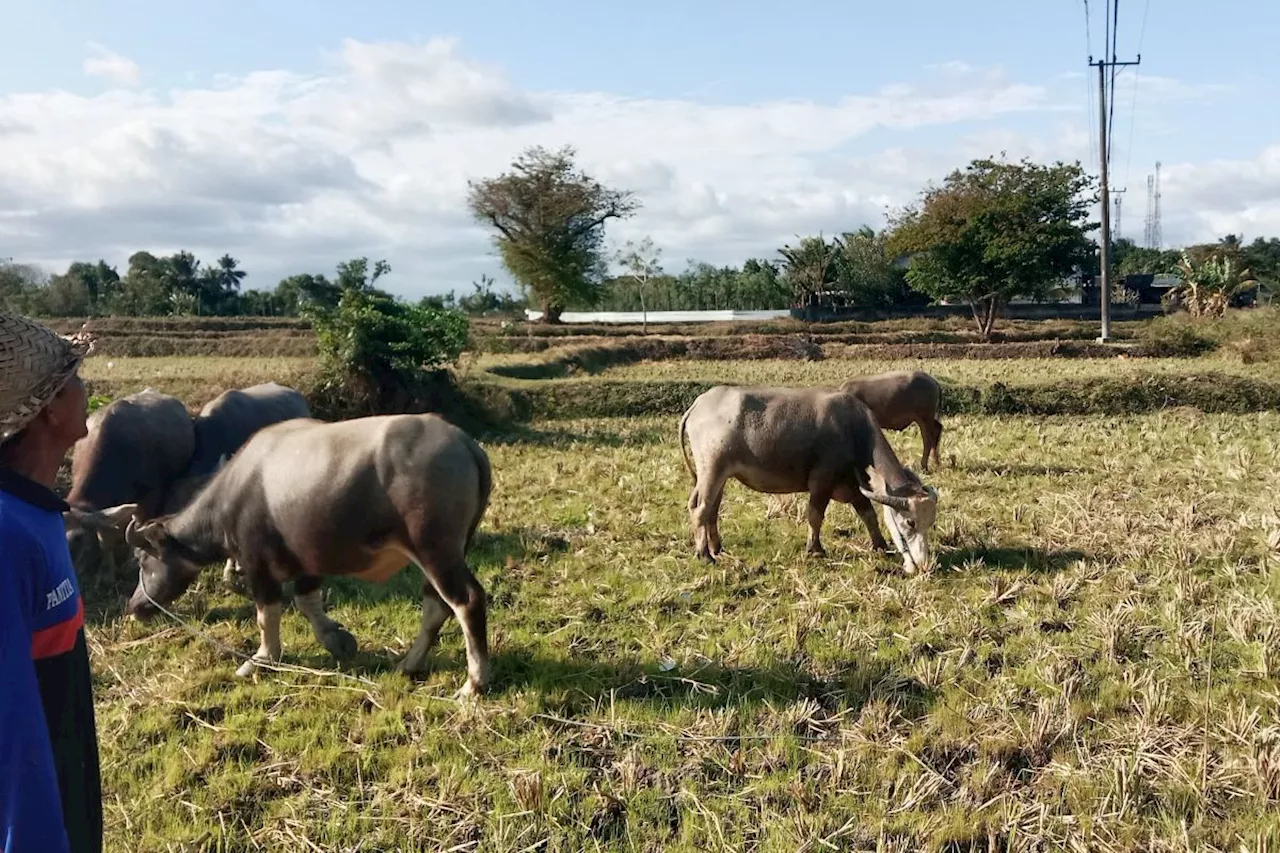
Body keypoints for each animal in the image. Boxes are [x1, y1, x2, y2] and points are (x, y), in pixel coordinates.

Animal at [63, 389, 194, 573]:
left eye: (77, 538)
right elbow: (104, 538)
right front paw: (107, 569)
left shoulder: (149, 497)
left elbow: (136, 526)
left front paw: (130, 562)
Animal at [86, 412, 494, 696]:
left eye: (143, 560)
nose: (135, 606)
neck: (237, 492)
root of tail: (464, 442)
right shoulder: (307, 560)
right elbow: (307, 601)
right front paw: (337, 639)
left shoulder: (257, 564)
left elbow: (267, 614)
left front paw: (261, 659)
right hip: (448, 552)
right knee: (435, 605)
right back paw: (408, 663)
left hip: (435, 550)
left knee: (467, 601)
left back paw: (473, 683)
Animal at [680, 384, 942, 571]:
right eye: (910, 522)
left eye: (931, 522)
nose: (924, 564)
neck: (853, 431)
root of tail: (699, 404)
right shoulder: (821, 483)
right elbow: (815, 516)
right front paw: (815, 549)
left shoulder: (852, 486)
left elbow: (868, 514)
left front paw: (880, 545)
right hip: (712, 470)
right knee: (700, 509)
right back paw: (704, 555)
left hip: (717, 476)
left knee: (710, 508)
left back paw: (717, 547)